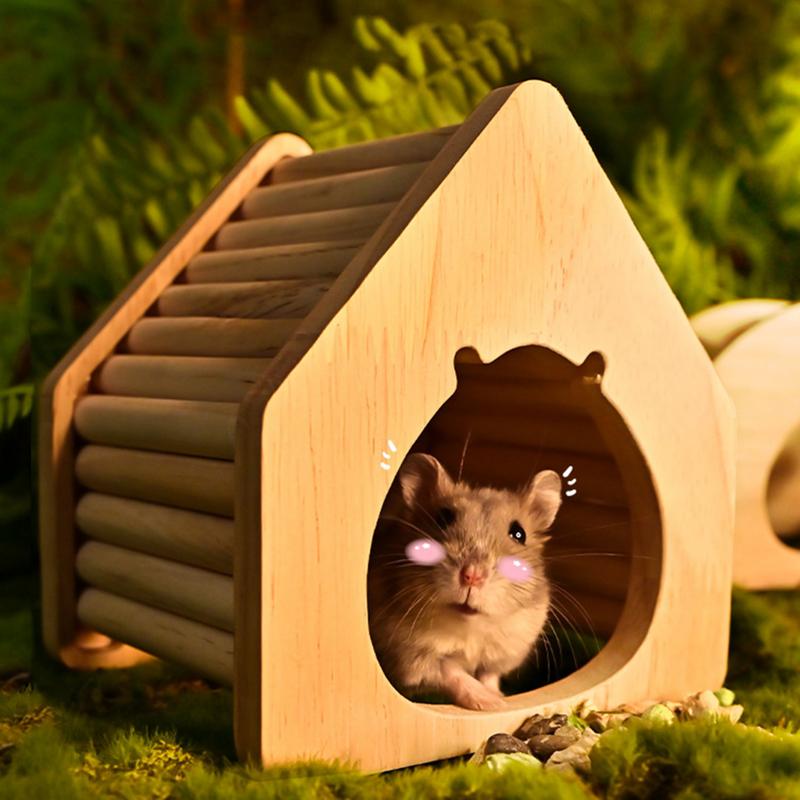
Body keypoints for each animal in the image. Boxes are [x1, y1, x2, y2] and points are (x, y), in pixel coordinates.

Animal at [368, 452, 562, 711]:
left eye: (519, 533)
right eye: (442, 519)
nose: (472, 576)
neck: (470, 625)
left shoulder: (507, 649)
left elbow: (489, 674)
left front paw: (499, 698)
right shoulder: (412, 658)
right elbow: (452, 671)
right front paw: (492, 704)